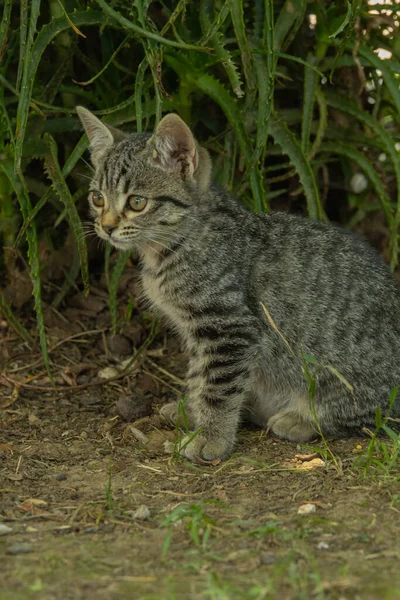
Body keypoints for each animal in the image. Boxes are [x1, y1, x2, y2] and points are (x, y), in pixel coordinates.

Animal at [76, 108, 400, 462]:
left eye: (137, 202)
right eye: (97, 198)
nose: (106, 227)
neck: (173, 246)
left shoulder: (229, 326)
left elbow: (218, 387)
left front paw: (211, 438)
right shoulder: (197, 332)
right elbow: (200, 375)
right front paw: (194, 410)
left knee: (373, 415)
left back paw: (300, 419)